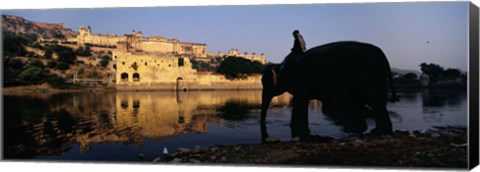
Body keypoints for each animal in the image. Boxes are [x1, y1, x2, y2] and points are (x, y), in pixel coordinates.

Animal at [260, 36, 400, 140]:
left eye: (264, 82)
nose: (263, 128)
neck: (281, 65)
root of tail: (385, 59)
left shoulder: (301, 84)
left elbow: (301, 103)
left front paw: (303, 132)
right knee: (378, 105)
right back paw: (379, 132)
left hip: (373, 77)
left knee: (377, 104)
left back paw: (379, 132)